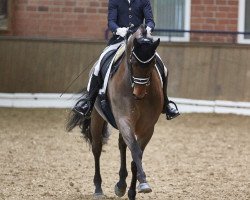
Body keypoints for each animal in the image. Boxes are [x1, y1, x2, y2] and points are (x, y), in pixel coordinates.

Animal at [67, 25, 163, 200]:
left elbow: (135, 156)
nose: (139, 93)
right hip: (97, 118)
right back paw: (98, 189)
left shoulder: (148, 128)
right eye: (132, 61)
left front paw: (134, 190)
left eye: (153, 62)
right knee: (97, 149)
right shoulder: (124, 120)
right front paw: (143, 183)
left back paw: (121, 185)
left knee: (122, 145)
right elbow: (135, 151)